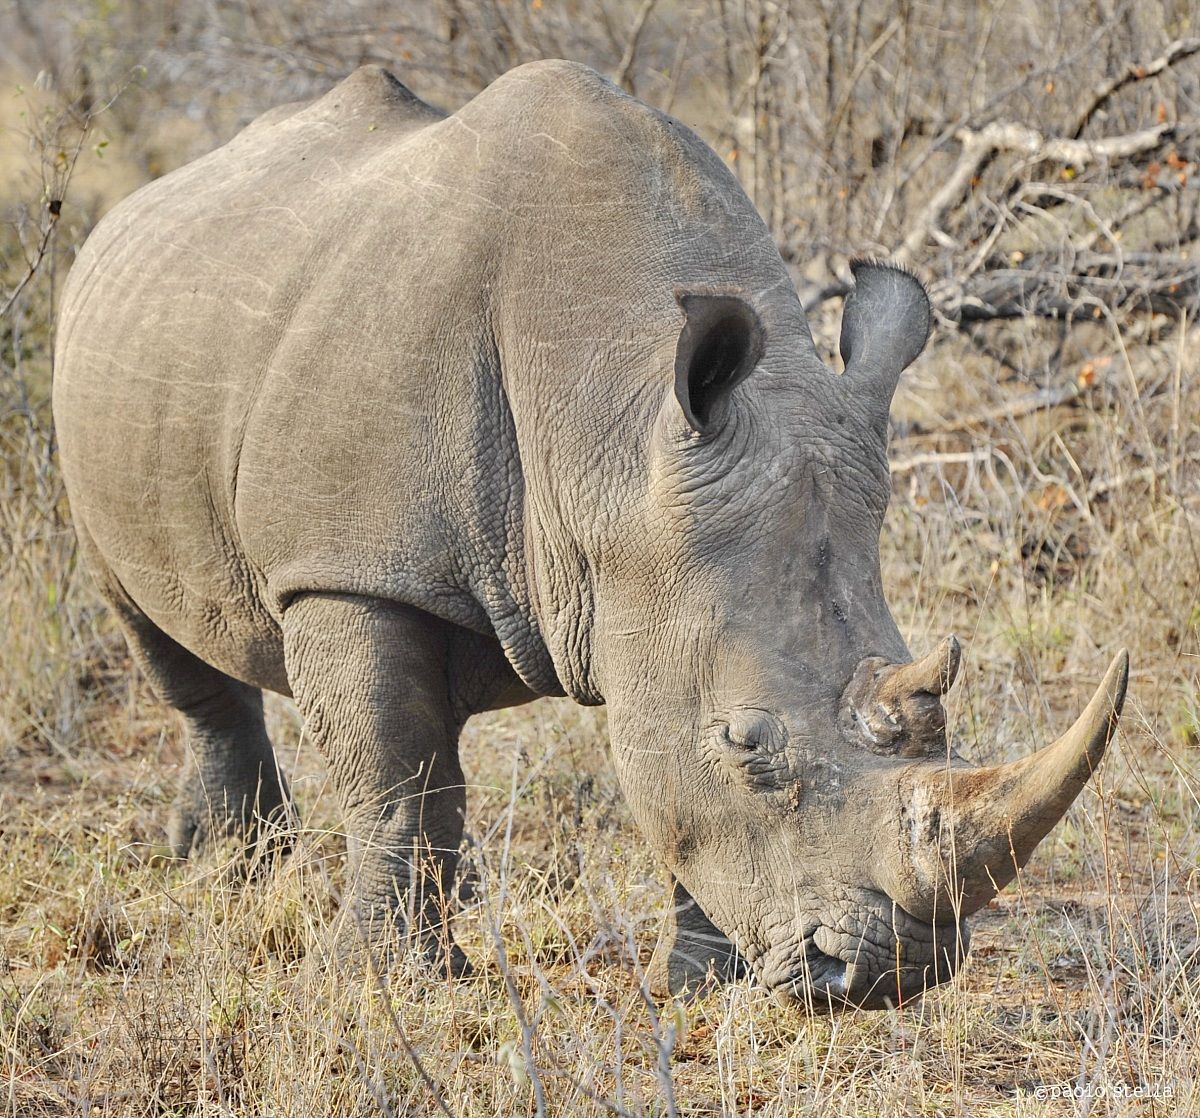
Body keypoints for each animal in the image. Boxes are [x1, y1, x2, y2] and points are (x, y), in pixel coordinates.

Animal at [54, 60, 1127, 1009]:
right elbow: (393, 775)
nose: (887, 976)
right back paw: (228, 866)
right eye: (746, 744)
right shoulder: (350, 569)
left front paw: (701, 989)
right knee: (147, 617)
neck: (610, 429)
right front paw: (377, 988)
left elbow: (662, 782)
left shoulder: (663, 565)